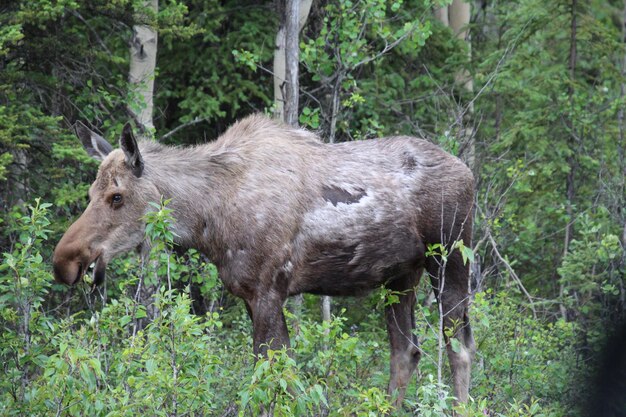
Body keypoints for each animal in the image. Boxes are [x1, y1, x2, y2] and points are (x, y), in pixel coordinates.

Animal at [52, 114, 472, 406]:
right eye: (90, 192)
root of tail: (470, 173)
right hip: (400, 277)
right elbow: (277, 375)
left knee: (460, 347)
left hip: (451, 260)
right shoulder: (251, 295)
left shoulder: (268, 290)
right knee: (406, 352)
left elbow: (272, 378)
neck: (207, 220)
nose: (64, 261)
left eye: (117, 196)